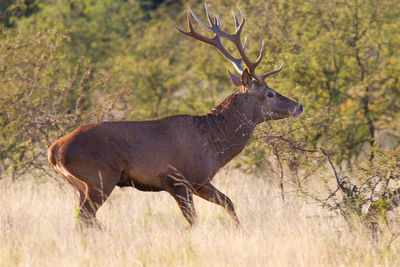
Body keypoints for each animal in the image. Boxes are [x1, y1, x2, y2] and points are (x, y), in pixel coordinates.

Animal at [47, 3, 304, 228]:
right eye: (270, 93)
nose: (299, 105)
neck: (212, 146)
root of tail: (54, 150)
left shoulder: (200, 181)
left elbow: (229, 203)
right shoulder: (177, 179)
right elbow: (193, 221)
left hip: (78, 184)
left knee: (82, 218)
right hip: (99, 177)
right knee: (86, 217)